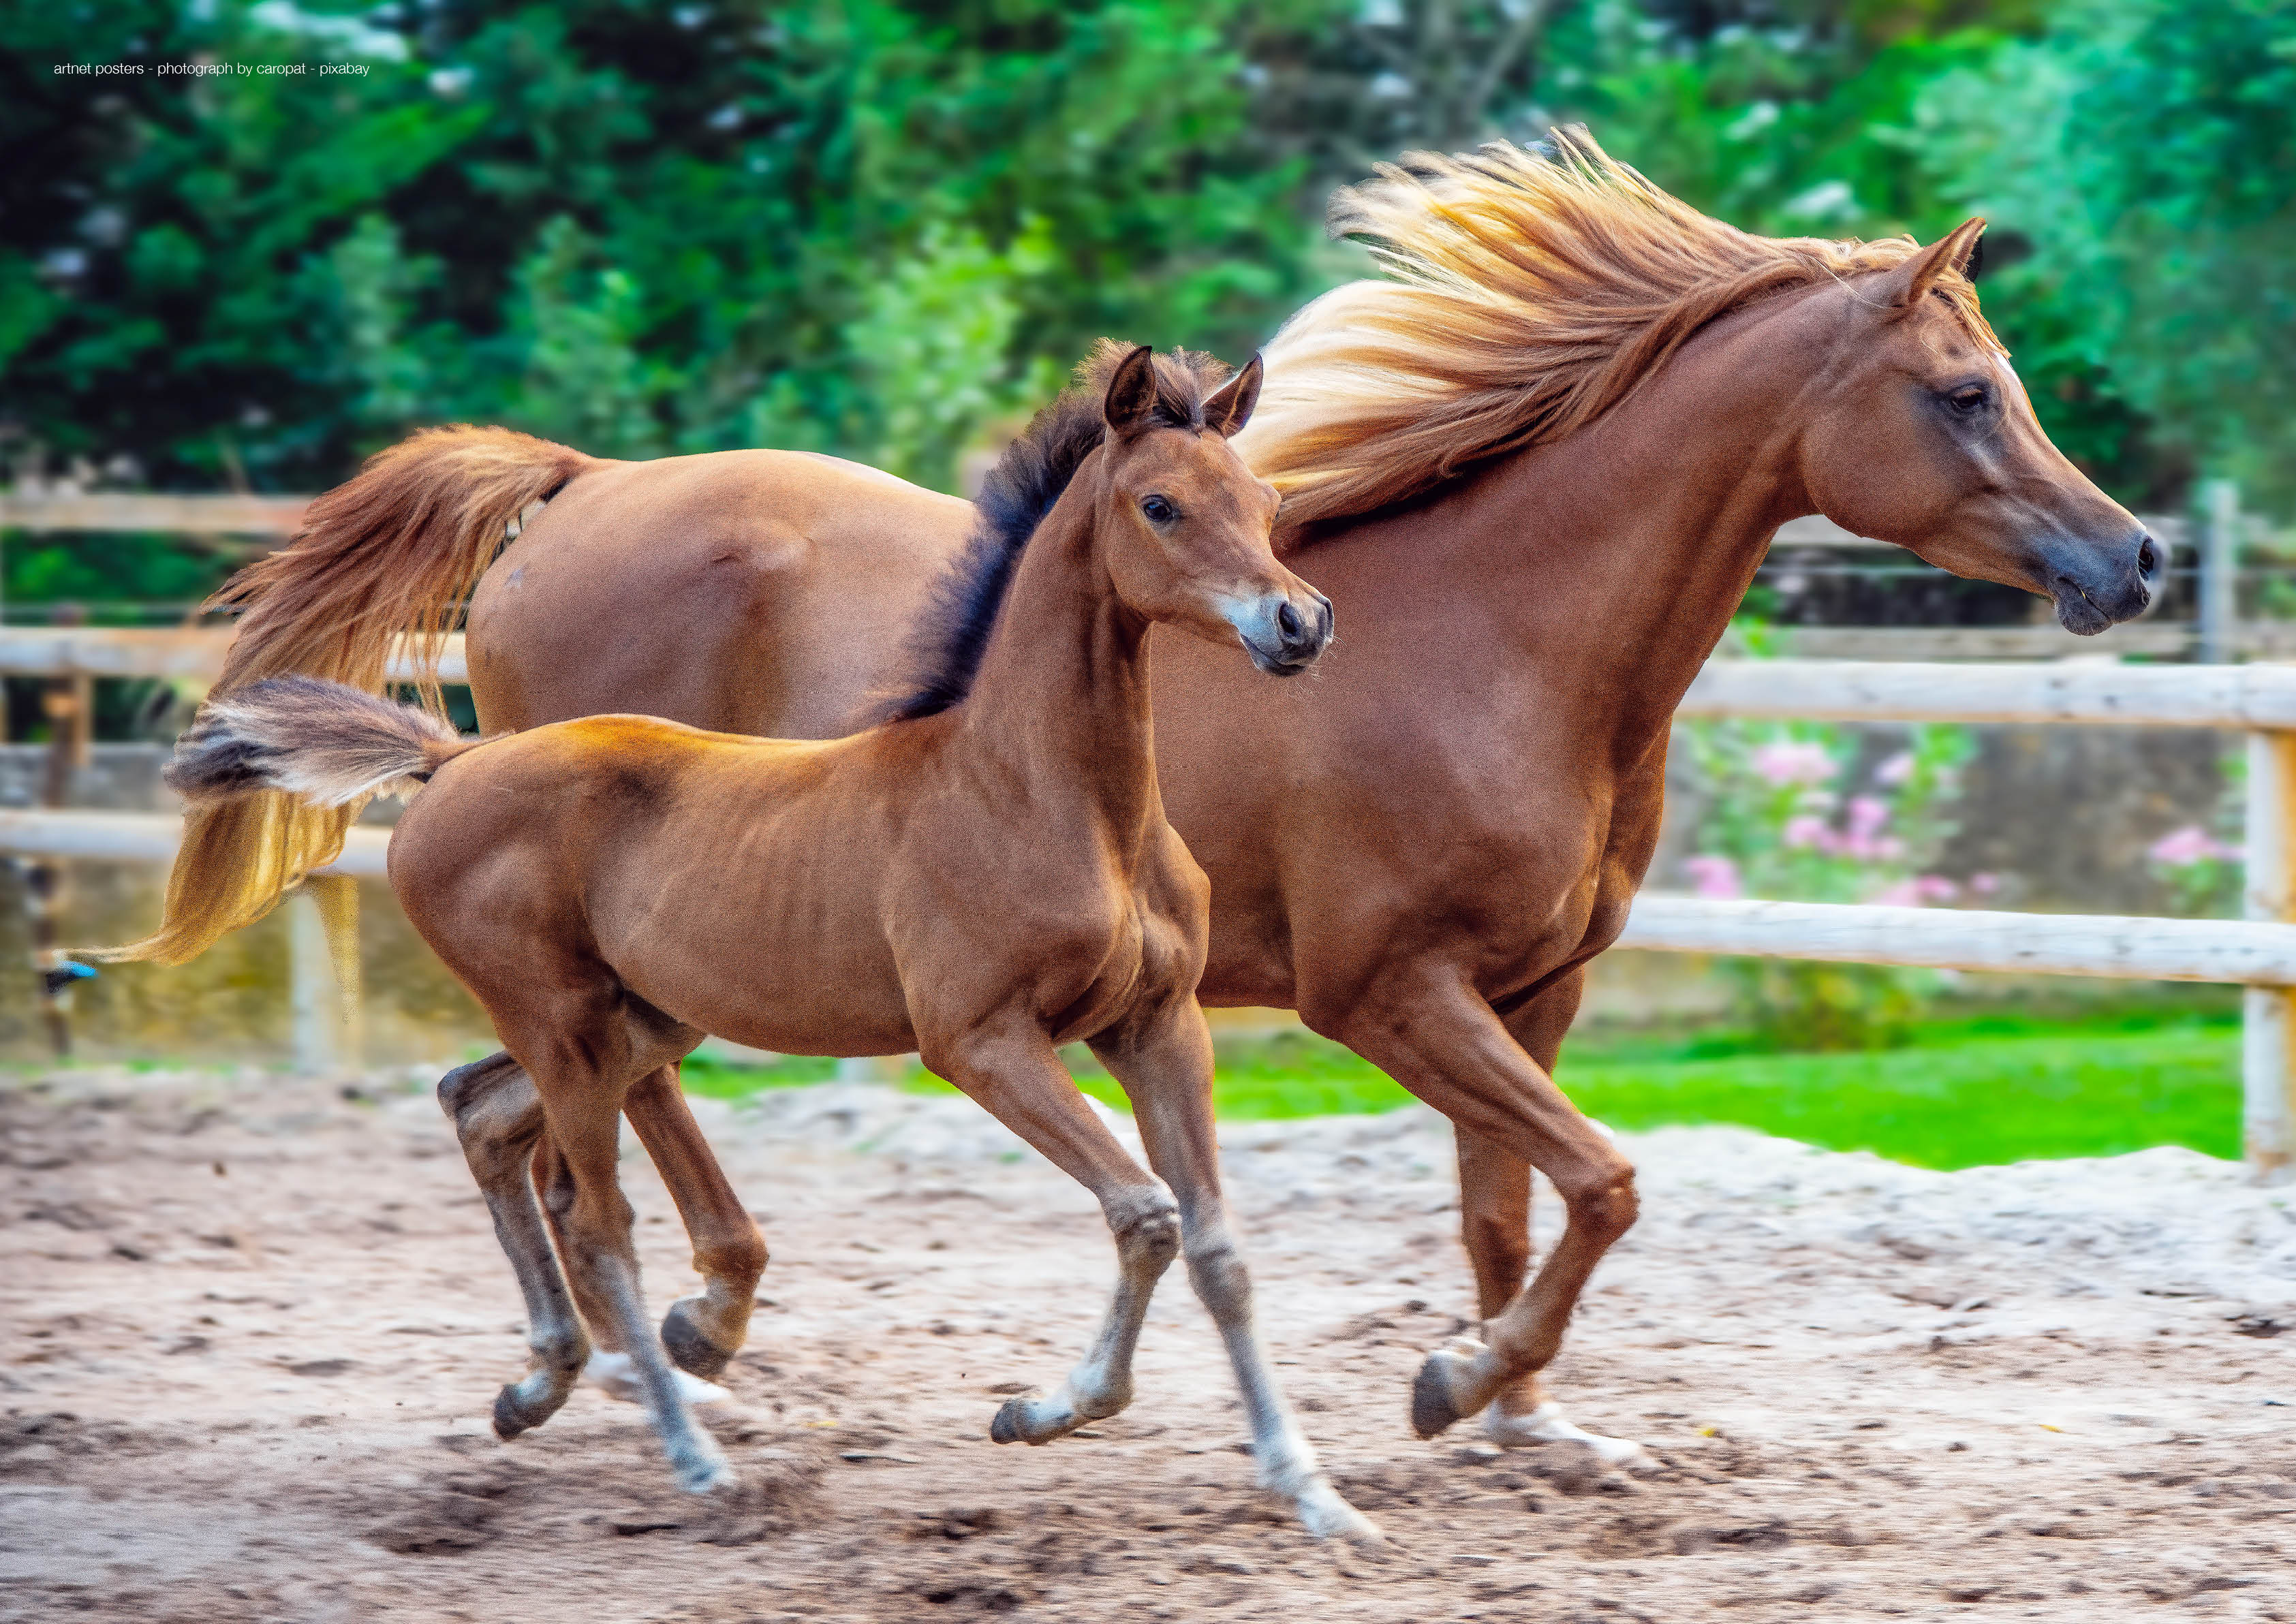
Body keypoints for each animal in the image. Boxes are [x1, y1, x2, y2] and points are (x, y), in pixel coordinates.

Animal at [112, 133, 2149, 1470]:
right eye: (1962, 392)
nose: (2125, 560)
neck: (1504, 640)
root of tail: (582, 484)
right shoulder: (1384, 993)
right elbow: (1602, 1181)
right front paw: (1455, 1387)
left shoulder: (1533, 991)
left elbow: (1524, 1208)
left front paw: (1520, 1413)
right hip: (645, 940)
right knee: (590, 1118)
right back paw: (691, 1324)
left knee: (504, 1108)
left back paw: (575, 1362)